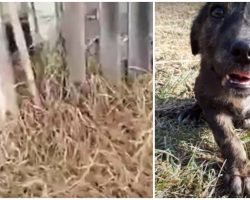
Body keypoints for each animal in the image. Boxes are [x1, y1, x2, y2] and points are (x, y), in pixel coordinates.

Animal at [179, 2, 250, 196]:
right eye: (217, 12)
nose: (245, 51)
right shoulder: (212, 105)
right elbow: (229, 140)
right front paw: (241, 173)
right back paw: (190, 113)